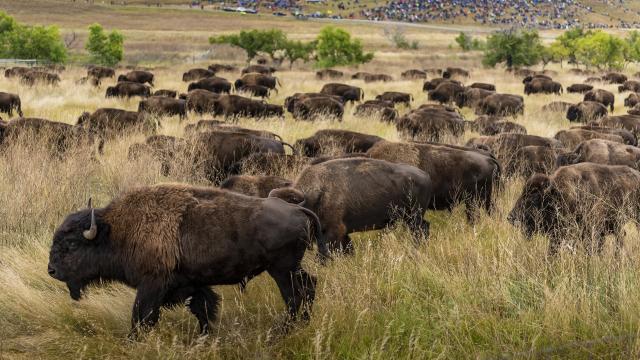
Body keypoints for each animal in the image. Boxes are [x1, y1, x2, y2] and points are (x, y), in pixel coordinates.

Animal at [48, 184, 328, 336]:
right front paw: (207, 337)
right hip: (290, 268)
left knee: (297, 295)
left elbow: (141, 317)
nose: (51, 270)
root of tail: (297, 208)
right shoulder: (193, 285)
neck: (118, 230)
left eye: (71, 244)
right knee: (309, 287)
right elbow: (203, 310)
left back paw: (284, 330)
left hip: (282, 270)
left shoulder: (152, 285)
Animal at [278, 158, 430, 253]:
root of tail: (425, 175)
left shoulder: (334, 231)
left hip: (413, 217)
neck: (317, 193)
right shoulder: (341, 234)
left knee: (419, 230)